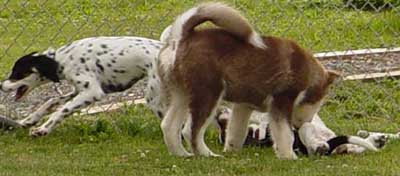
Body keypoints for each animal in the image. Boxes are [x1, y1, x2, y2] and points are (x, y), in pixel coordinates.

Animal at [0, 36, 162, 136]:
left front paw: (42, 129)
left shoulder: (92, 92)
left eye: (17, 74)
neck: (62, 60)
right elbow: (51, 102)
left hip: (154, 99)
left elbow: (62, 110)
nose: (1, 86)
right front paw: (29, 120)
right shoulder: (77, 90)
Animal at [158, 2, 340, 160]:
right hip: (208, 94)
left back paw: (181, 154)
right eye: (317, 104)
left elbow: (236, 132)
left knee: (169, 126)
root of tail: (183, 36)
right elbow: (286, 134)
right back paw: (206, 155)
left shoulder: (243, 106)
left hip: (182, 95)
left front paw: (231, 152)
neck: (308, 72)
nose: (302, 124)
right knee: (190, 131)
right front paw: (289, 156)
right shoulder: (282, 102)